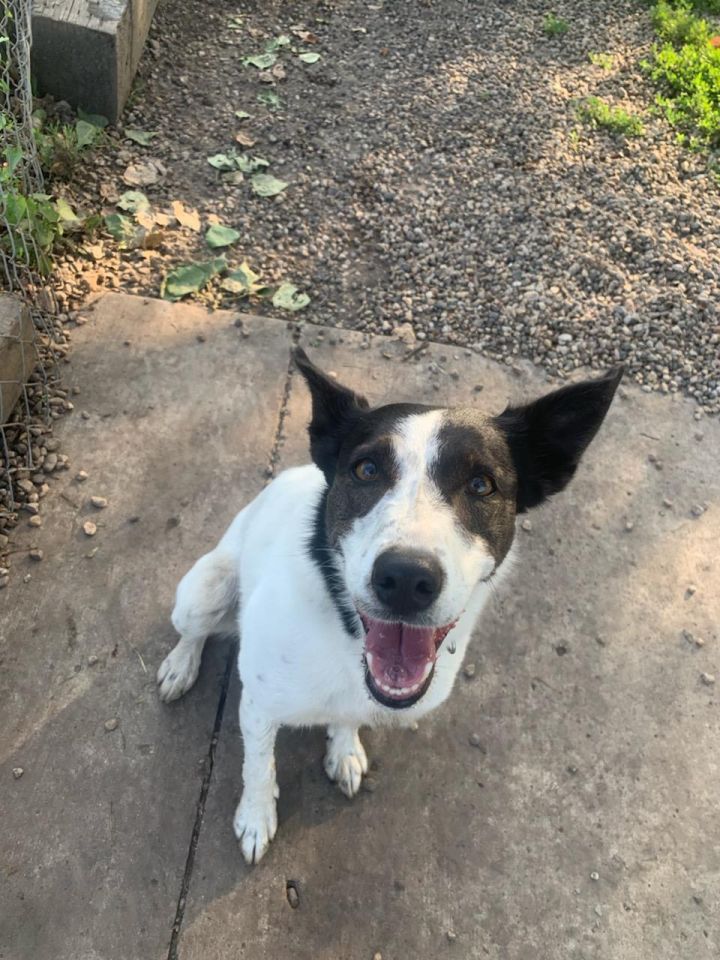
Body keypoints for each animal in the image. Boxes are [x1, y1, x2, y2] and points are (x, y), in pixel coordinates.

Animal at [160, 348, 620, 868]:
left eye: (482, 485)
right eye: (366, 470)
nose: (404, 580)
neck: (345, 637)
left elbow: (348, 718)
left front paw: (343, 748)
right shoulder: (258, 706)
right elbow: (258, 767)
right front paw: (256, 818)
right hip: (204, 590)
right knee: (193, 631)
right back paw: (179, 666)